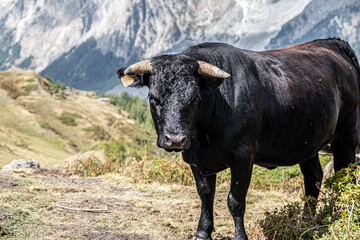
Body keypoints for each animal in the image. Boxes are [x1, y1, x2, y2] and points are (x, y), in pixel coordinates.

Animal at [117, 38, 360, 239]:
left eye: (195, 98)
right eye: (153, 98)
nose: (175, 139)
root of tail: (331, 43)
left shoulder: (243, 156)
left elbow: (235, 200)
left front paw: (240, 236)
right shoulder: (194, 156)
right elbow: (205, 194)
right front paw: (202, 232)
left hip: (347, 135)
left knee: (344, 177)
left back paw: (340, 216)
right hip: (306, 142)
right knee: (313, 178)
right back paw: (306, 224)